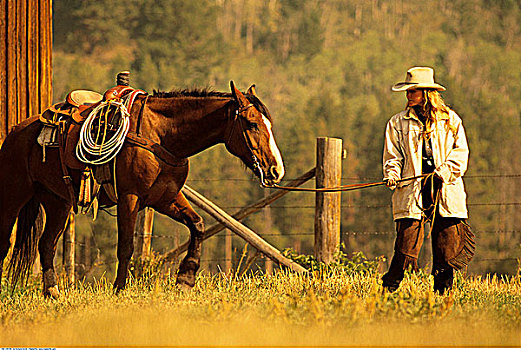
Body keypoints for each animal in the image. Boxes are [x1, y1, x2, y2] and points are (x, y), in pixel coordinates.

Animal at [0, 81, 284, 296]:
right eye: (252, 124)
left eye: (269, 124)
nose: (276, 170)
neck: (161, 134)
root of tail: (15, 132)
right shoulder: (130, 198)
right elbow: (126, 245)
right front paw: (119, 289)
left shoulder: (166, 198)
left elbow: (198, 225)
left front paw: (185, 279)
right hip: (13, 197)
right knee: (6, 242)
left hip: (57, 202)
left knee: (46, 244)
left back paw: (53, 292)